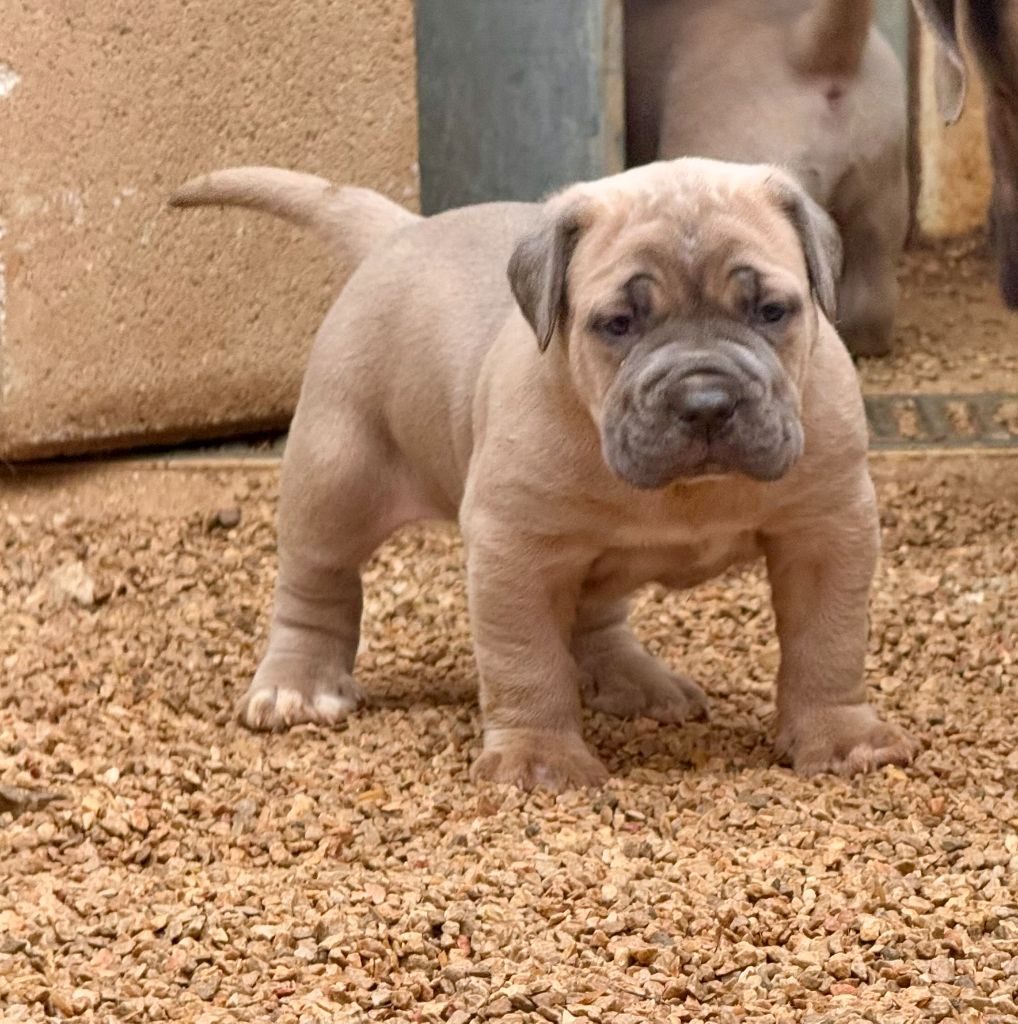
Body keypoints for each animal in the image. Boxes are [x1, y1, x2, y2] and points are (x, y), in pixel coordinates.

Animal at [171, 159, 917, 786]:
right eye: (617, 323)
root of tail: (402, 232)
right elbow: (525, 658)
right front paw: (538, 757)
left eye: (771, 311)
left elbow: (828, 640)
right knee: (317, 582)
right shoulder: (515, 548)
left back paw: (633, 680)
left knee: (596, 612)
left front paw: (839, 734)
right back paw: (298, 683)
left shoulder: (826, 529)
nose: (705, 400)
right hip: (336, 472)